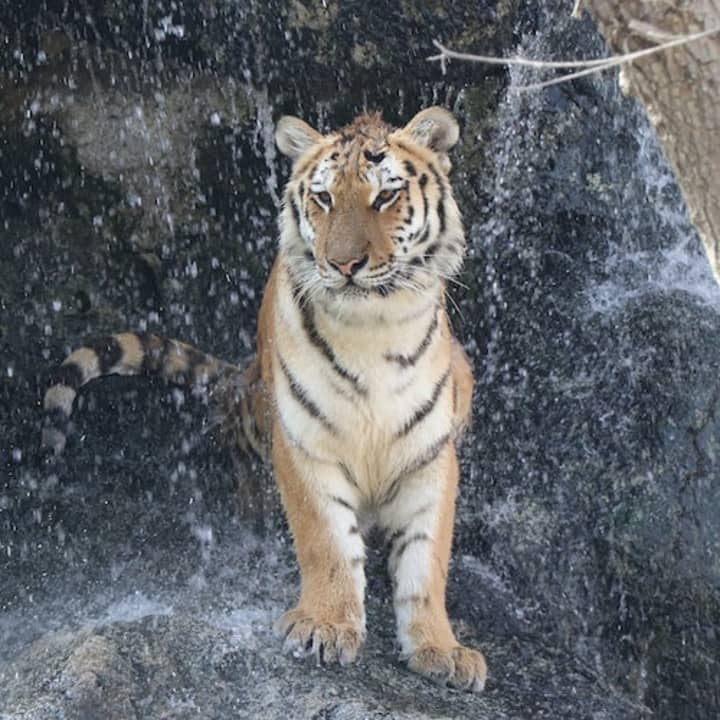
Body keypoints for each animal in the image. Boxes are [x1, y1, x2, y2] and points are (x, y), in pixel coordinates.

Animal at [42, 107, 486, 692]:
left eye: (386, 196)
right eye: (324, 198)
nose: (344, 264)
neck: (374, 329)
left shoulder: (430, 457)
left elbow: (425, 563)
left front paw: (441, 648)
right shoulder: (304, 443)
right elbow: (325, 540)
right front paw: (326, 625)